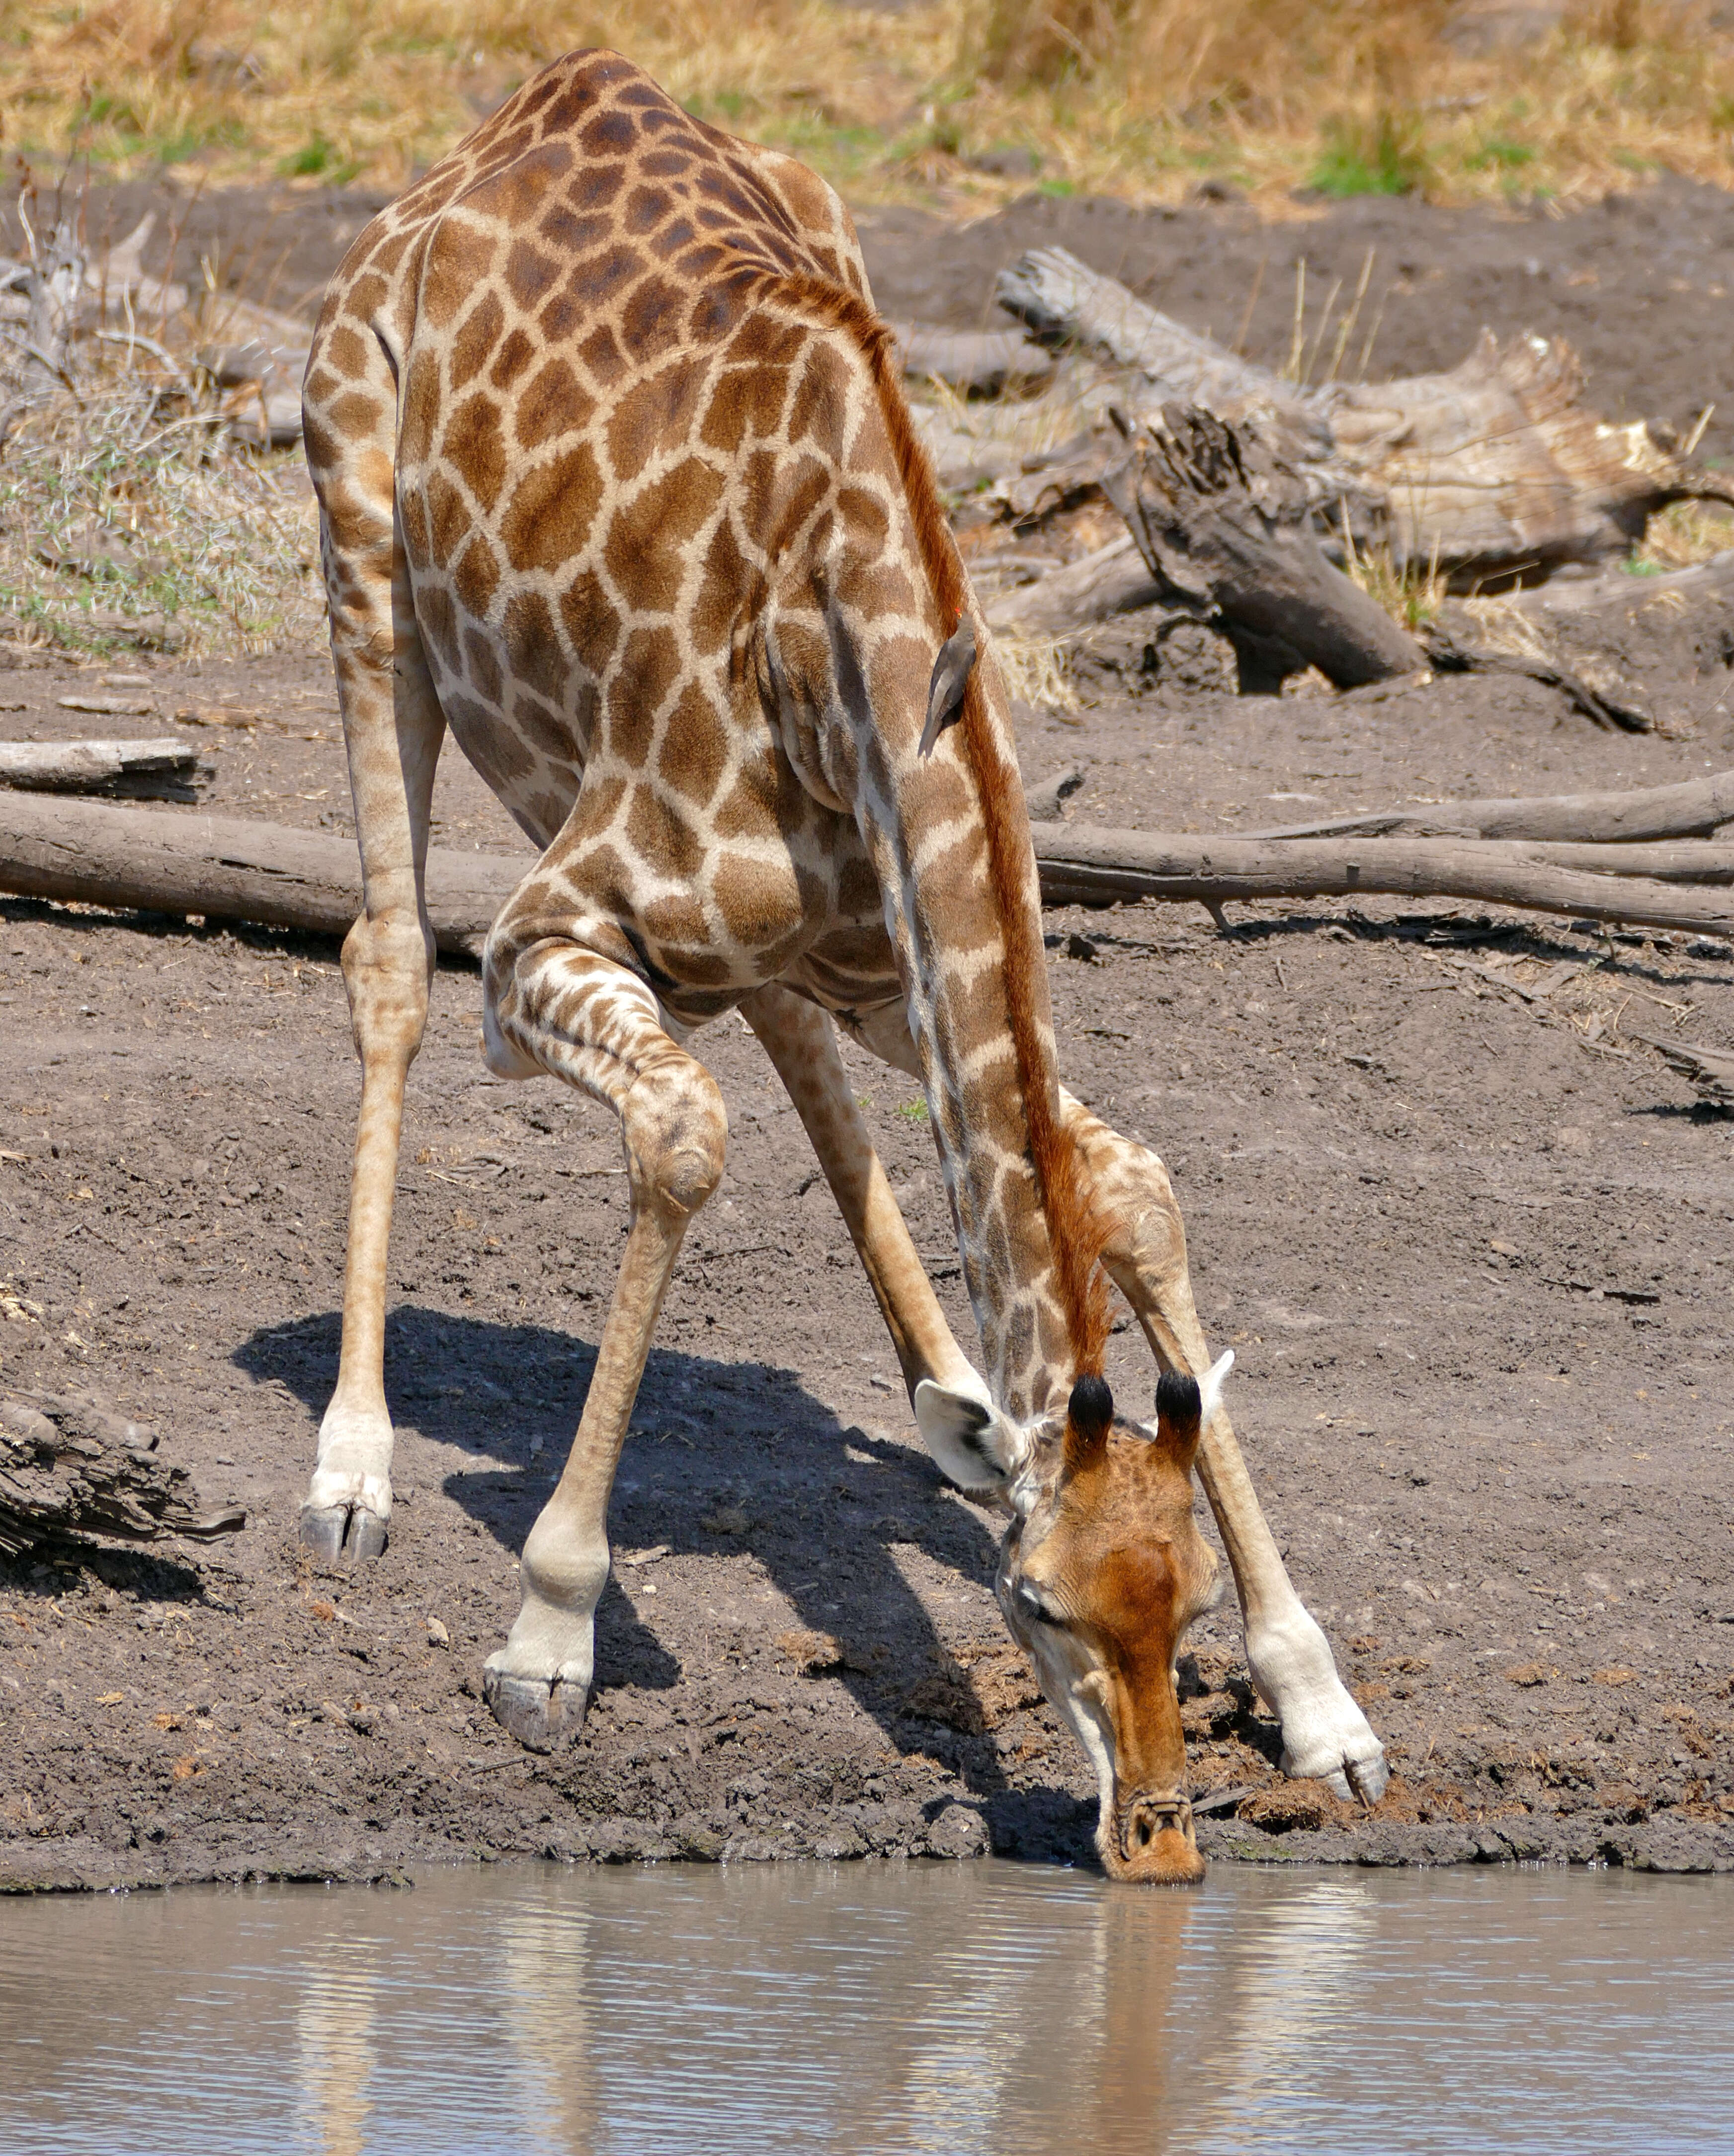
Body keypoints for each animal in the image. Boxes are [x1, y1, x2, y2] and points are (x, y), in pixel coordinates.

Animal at [297, 42, 1380, 1880]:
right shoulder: (545, 927)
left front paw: (1323, 1703)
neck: (841, 654)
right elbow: (681, 1136)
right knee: (384, 957)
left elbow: (1124, 1176)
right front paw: (547, 1635)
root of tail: (521, 107)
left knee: (782, 1031)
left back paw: (948, 1397)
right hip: (361, 546)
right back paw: (351, 1467)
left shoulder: (892, 962)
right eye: (1032, 1607)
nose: (1157, 1847)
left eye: (1178, 1612)